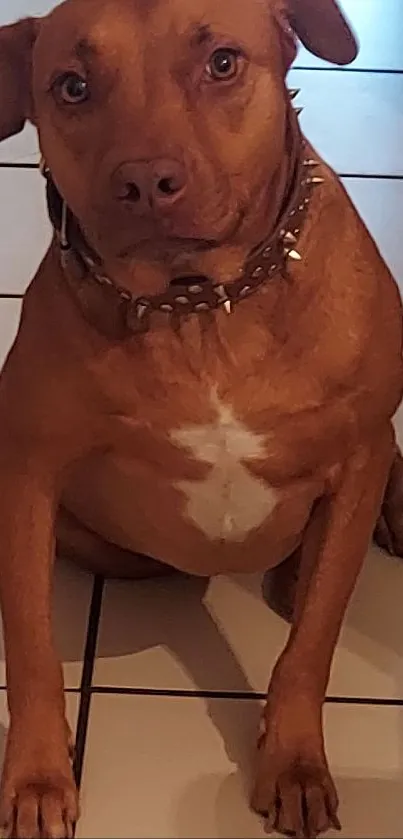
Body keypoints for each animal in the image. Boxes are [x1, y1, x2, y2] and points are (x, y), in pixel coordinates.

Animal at [0, 0, 403, 836]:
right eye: (72, 85)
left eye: (221, 62)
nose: (144, 181)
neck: (200, 307)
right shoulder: (27, 469)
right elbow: (30, 643)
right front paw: (37, 778)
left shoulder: (357, 452)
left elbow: (312, 641)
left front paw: (293, 760)